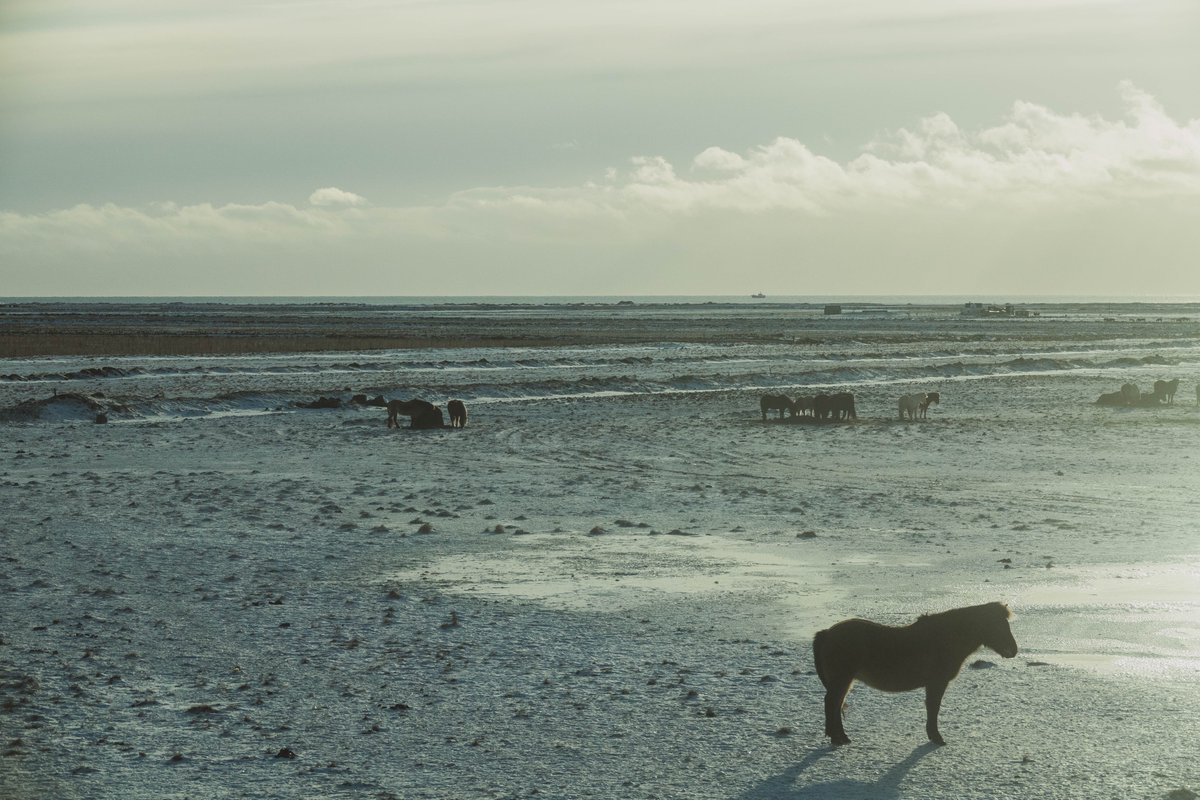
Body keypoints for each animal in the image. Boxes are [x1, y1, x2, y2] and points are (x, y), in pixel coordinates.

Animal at [811, 604, 1017, 748]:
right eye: (998, 625)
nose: (1013, 650)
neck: (946, 638)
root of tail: (827, 633)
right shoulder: (936, 683)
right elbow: (933, 708)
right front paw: (936, 737)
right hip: (841, 680)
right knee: (832, 703)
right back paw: (837, 738)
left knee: (836, 704)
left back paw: (841, 737)